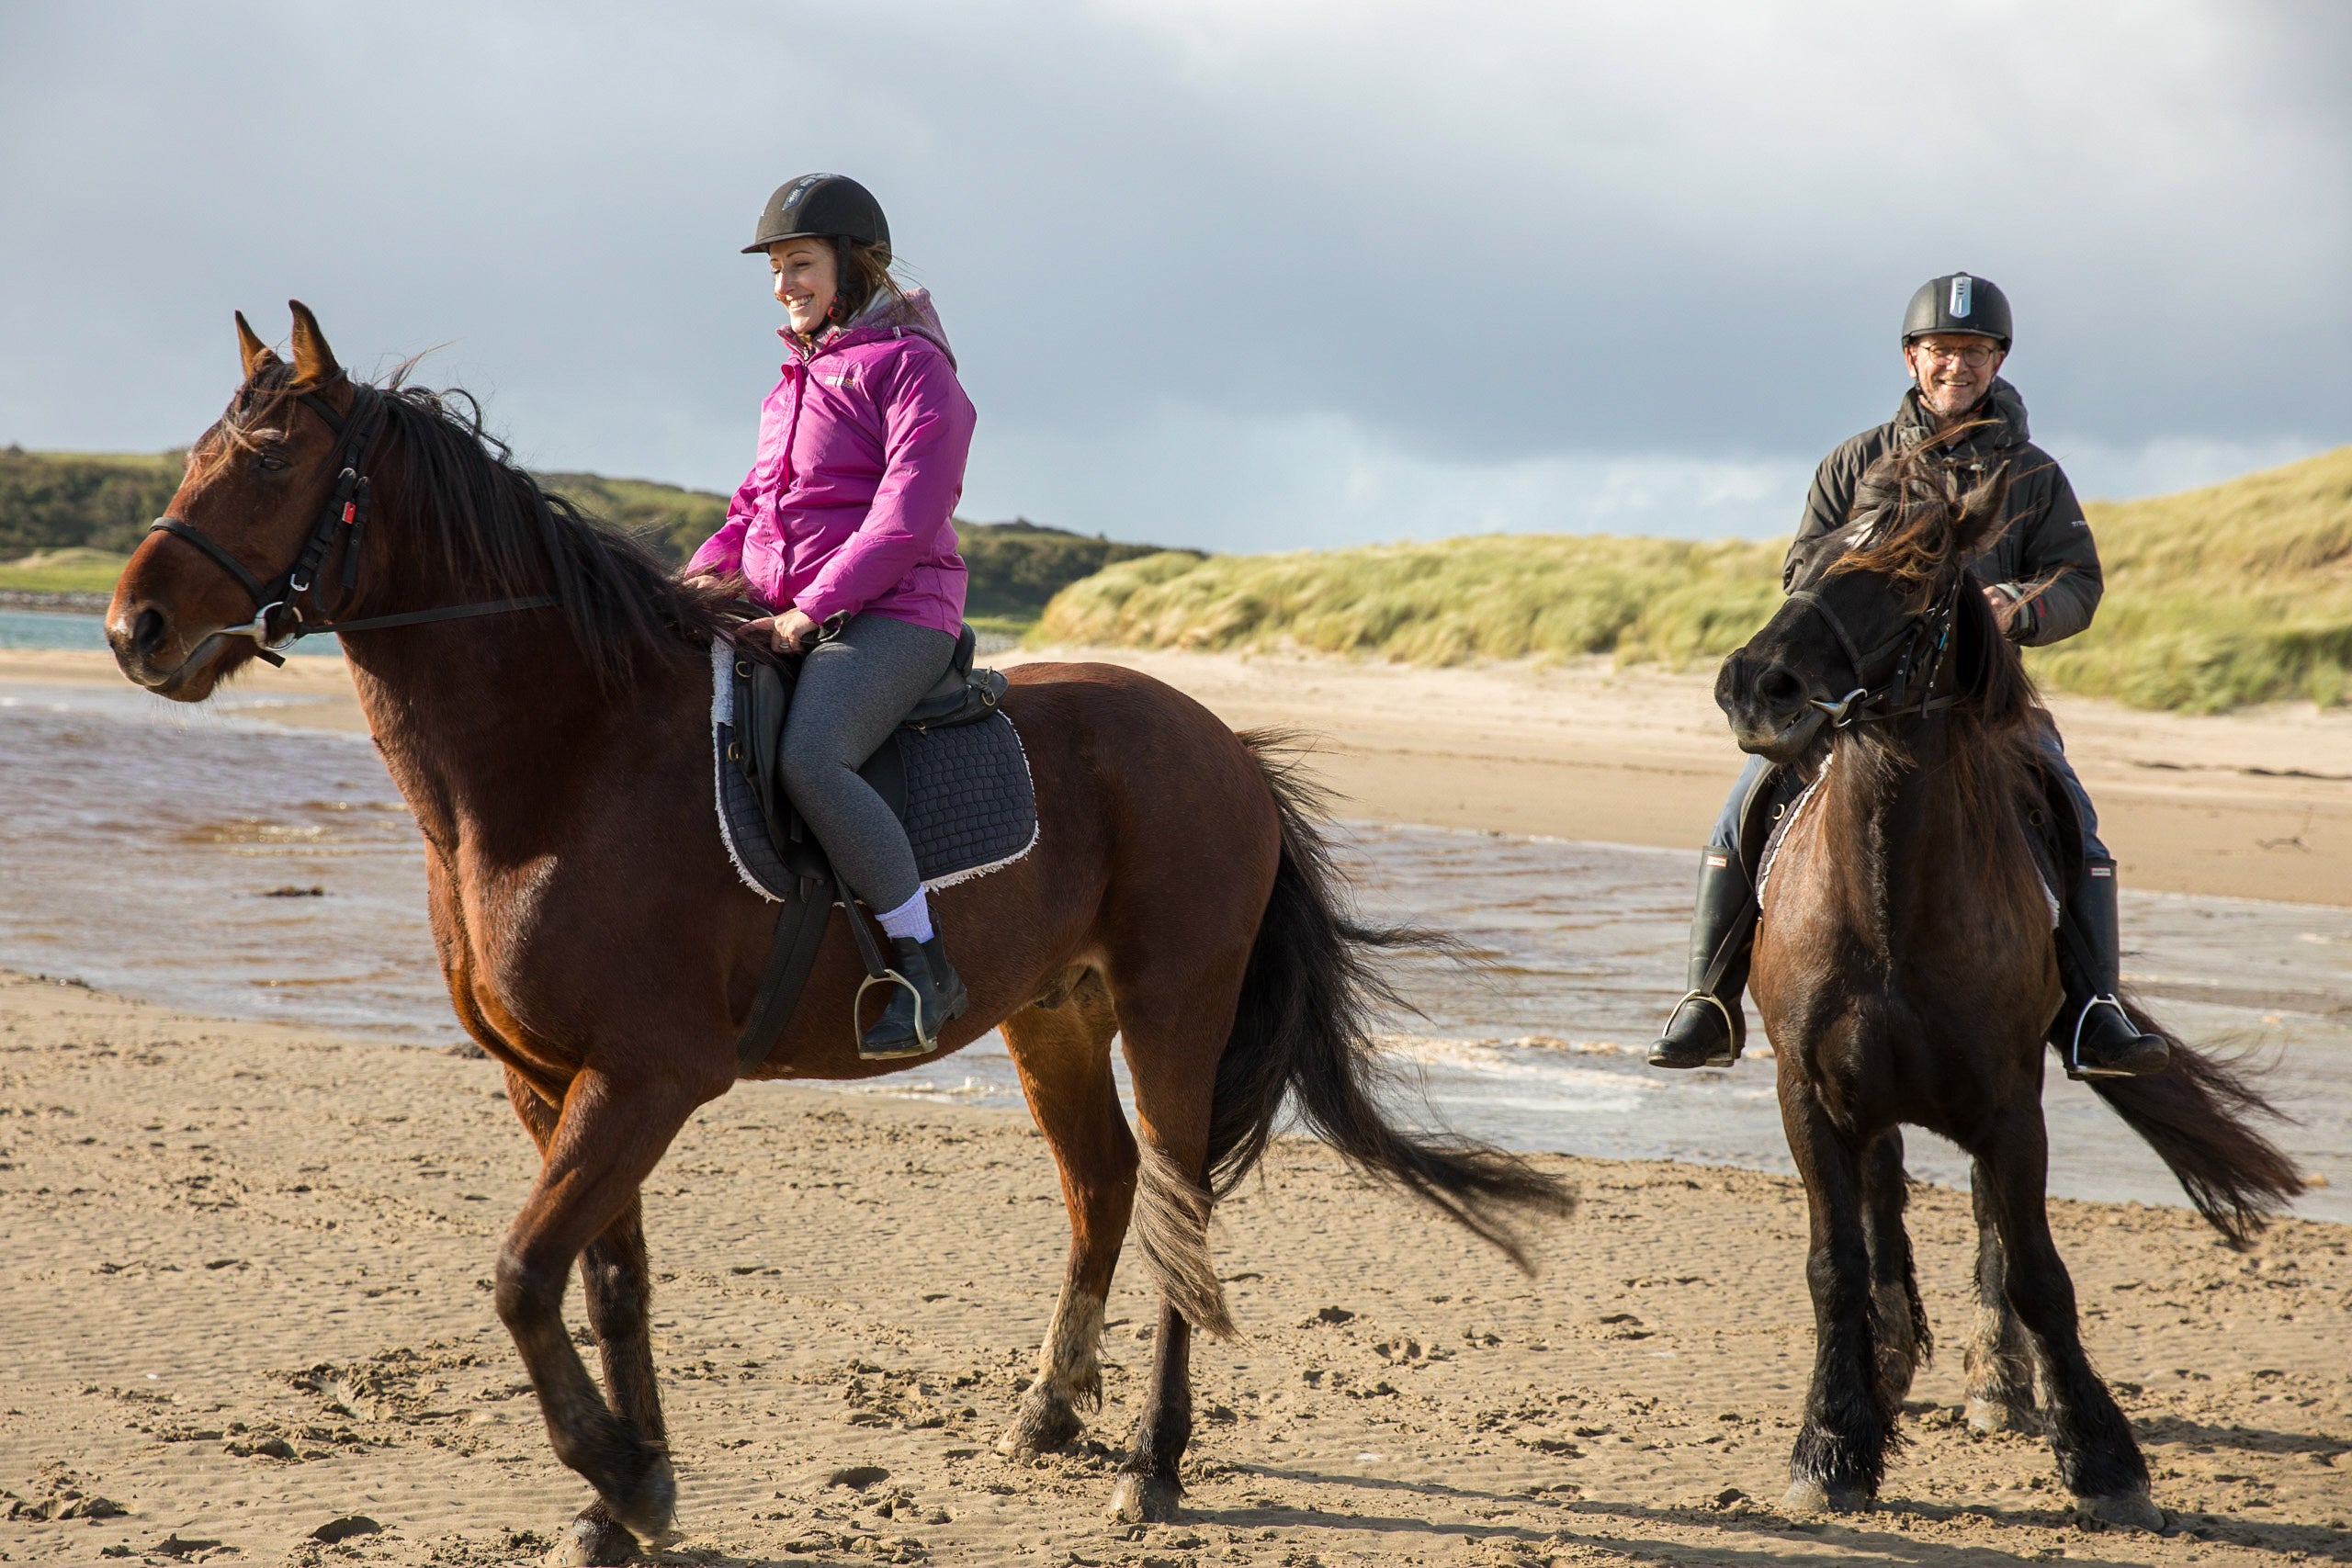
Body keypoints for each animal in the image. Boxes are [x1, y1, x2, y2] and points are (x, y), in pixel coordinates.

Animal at [110, 300, 1580, 1561]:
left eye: (270, 460)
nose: (134, 628)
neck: (565, 760)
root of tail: (1223, 742)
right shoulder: (552, 1081)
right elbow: (609, 1281)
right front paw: (623, 1501)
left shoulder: (649, 1077)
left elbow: (526, 1275)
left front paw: (625, 1478)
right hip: (1054, 1016)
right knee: (1104, 1188)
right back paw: (1048, 1412)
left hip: (1175, 1013)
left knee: (1176, 1203)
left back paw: (1149, 1468)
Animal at [1712, 446, 2295, 1523]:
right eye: (1816, 557)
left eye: (1914, 577)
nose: (1753, 686)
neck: (1891, 904)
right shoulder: (1806, 1094)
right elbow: (1834, 1262)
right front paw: (1832, 1444)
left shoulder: (2008, 1105)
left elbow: (2033, 1269)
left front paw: (2103, 1459)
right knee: (1882, 1206)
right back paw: (1887, 1368)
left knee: (1985, 1225)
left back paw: (1997, 1382)